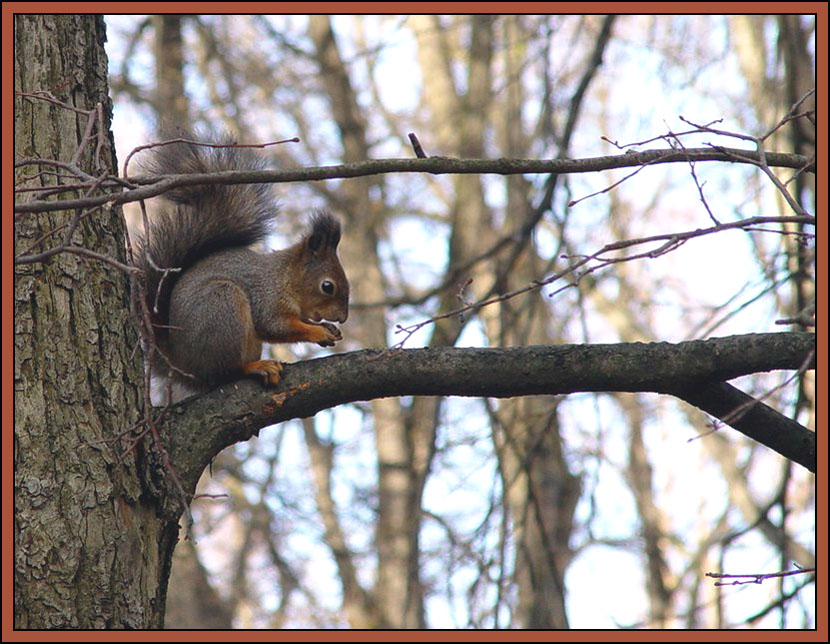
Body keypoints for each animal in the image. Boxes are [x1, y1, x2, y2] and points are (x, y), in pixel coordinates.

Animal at [135, 136, 350, 392]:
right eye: (327, 286)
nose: (343, 317)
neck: (286, 277)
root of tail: (185, 367)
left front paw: (330, 328)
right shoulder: (266, 298)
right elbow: (276, 326)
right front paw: (317, 332)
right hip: (222, 304)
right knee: (226, 373)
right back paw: (256, 367)